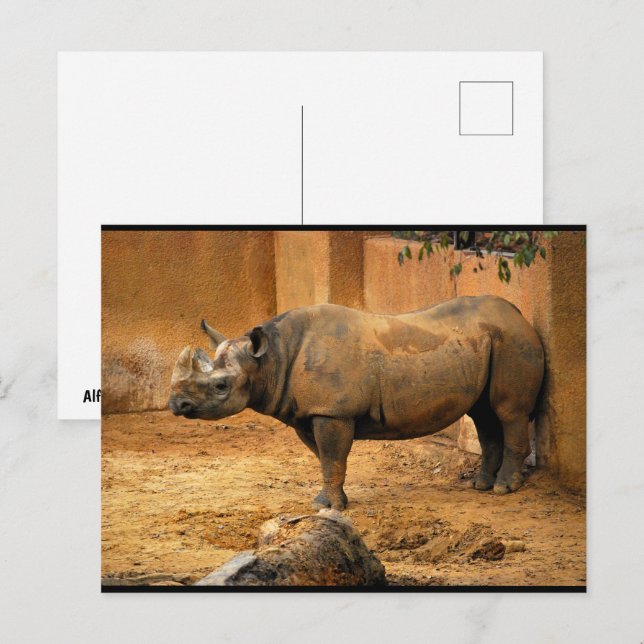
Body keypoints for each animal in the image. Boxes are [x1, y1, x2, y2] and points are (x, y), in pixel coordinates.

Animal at [169, 296, 544, 510]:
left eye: (221, 386)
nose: (176, 405)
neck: (272, 358)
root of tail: (521, 316)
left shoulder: (333, 411)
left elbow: (333, 457)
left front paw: (330, 509)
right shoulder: (307, 411)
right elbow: (325, 459)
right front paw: (329, 501)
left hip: (512, 342)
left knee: (508, 412)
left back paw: (503, 489)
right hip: (490, 340)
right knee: (483, 414)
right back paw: (482, 485)